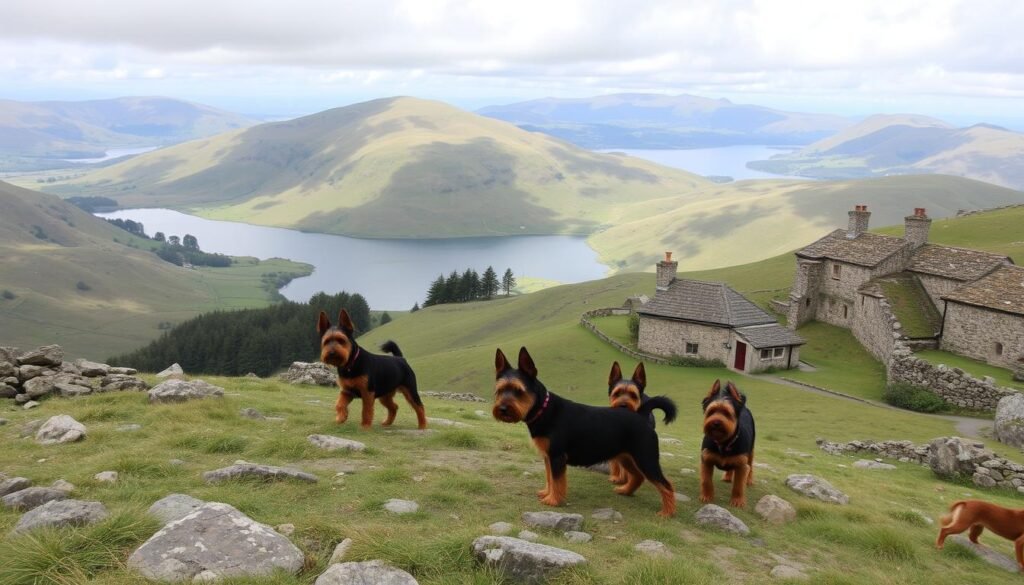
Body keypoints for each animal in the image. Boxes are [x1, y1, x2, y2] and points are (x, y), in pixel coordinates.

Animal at [491, 348, 675, 516]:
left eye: (518, 390)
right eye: (499, 390)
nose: (502, 409)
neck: (544, 410)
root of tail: (641, 415)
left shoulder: (557, 457)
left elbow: (556, 481)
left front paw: (553, 500)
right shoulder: (548, 457)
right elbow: (550, 478)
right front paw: (547, 493)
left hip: (646, 459)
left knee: (666, 485)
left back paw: (667, 513)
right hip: (627, 457)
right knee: (637, 476)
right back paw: (625, 491)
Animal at [700, 379, 757, 508]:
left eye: (727, 413)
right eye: (711, 411)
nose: (716, 422)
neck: (724, 442)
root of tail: (744, 407)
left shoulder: (742, 465)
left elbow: (738, 485)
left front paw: (737, 500)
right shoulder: (706, 460)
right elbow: (706, 481)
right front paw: (707, 496)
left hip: (751, 451)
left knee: (751, 465)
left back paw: (749, 479)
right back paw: (727, 476)